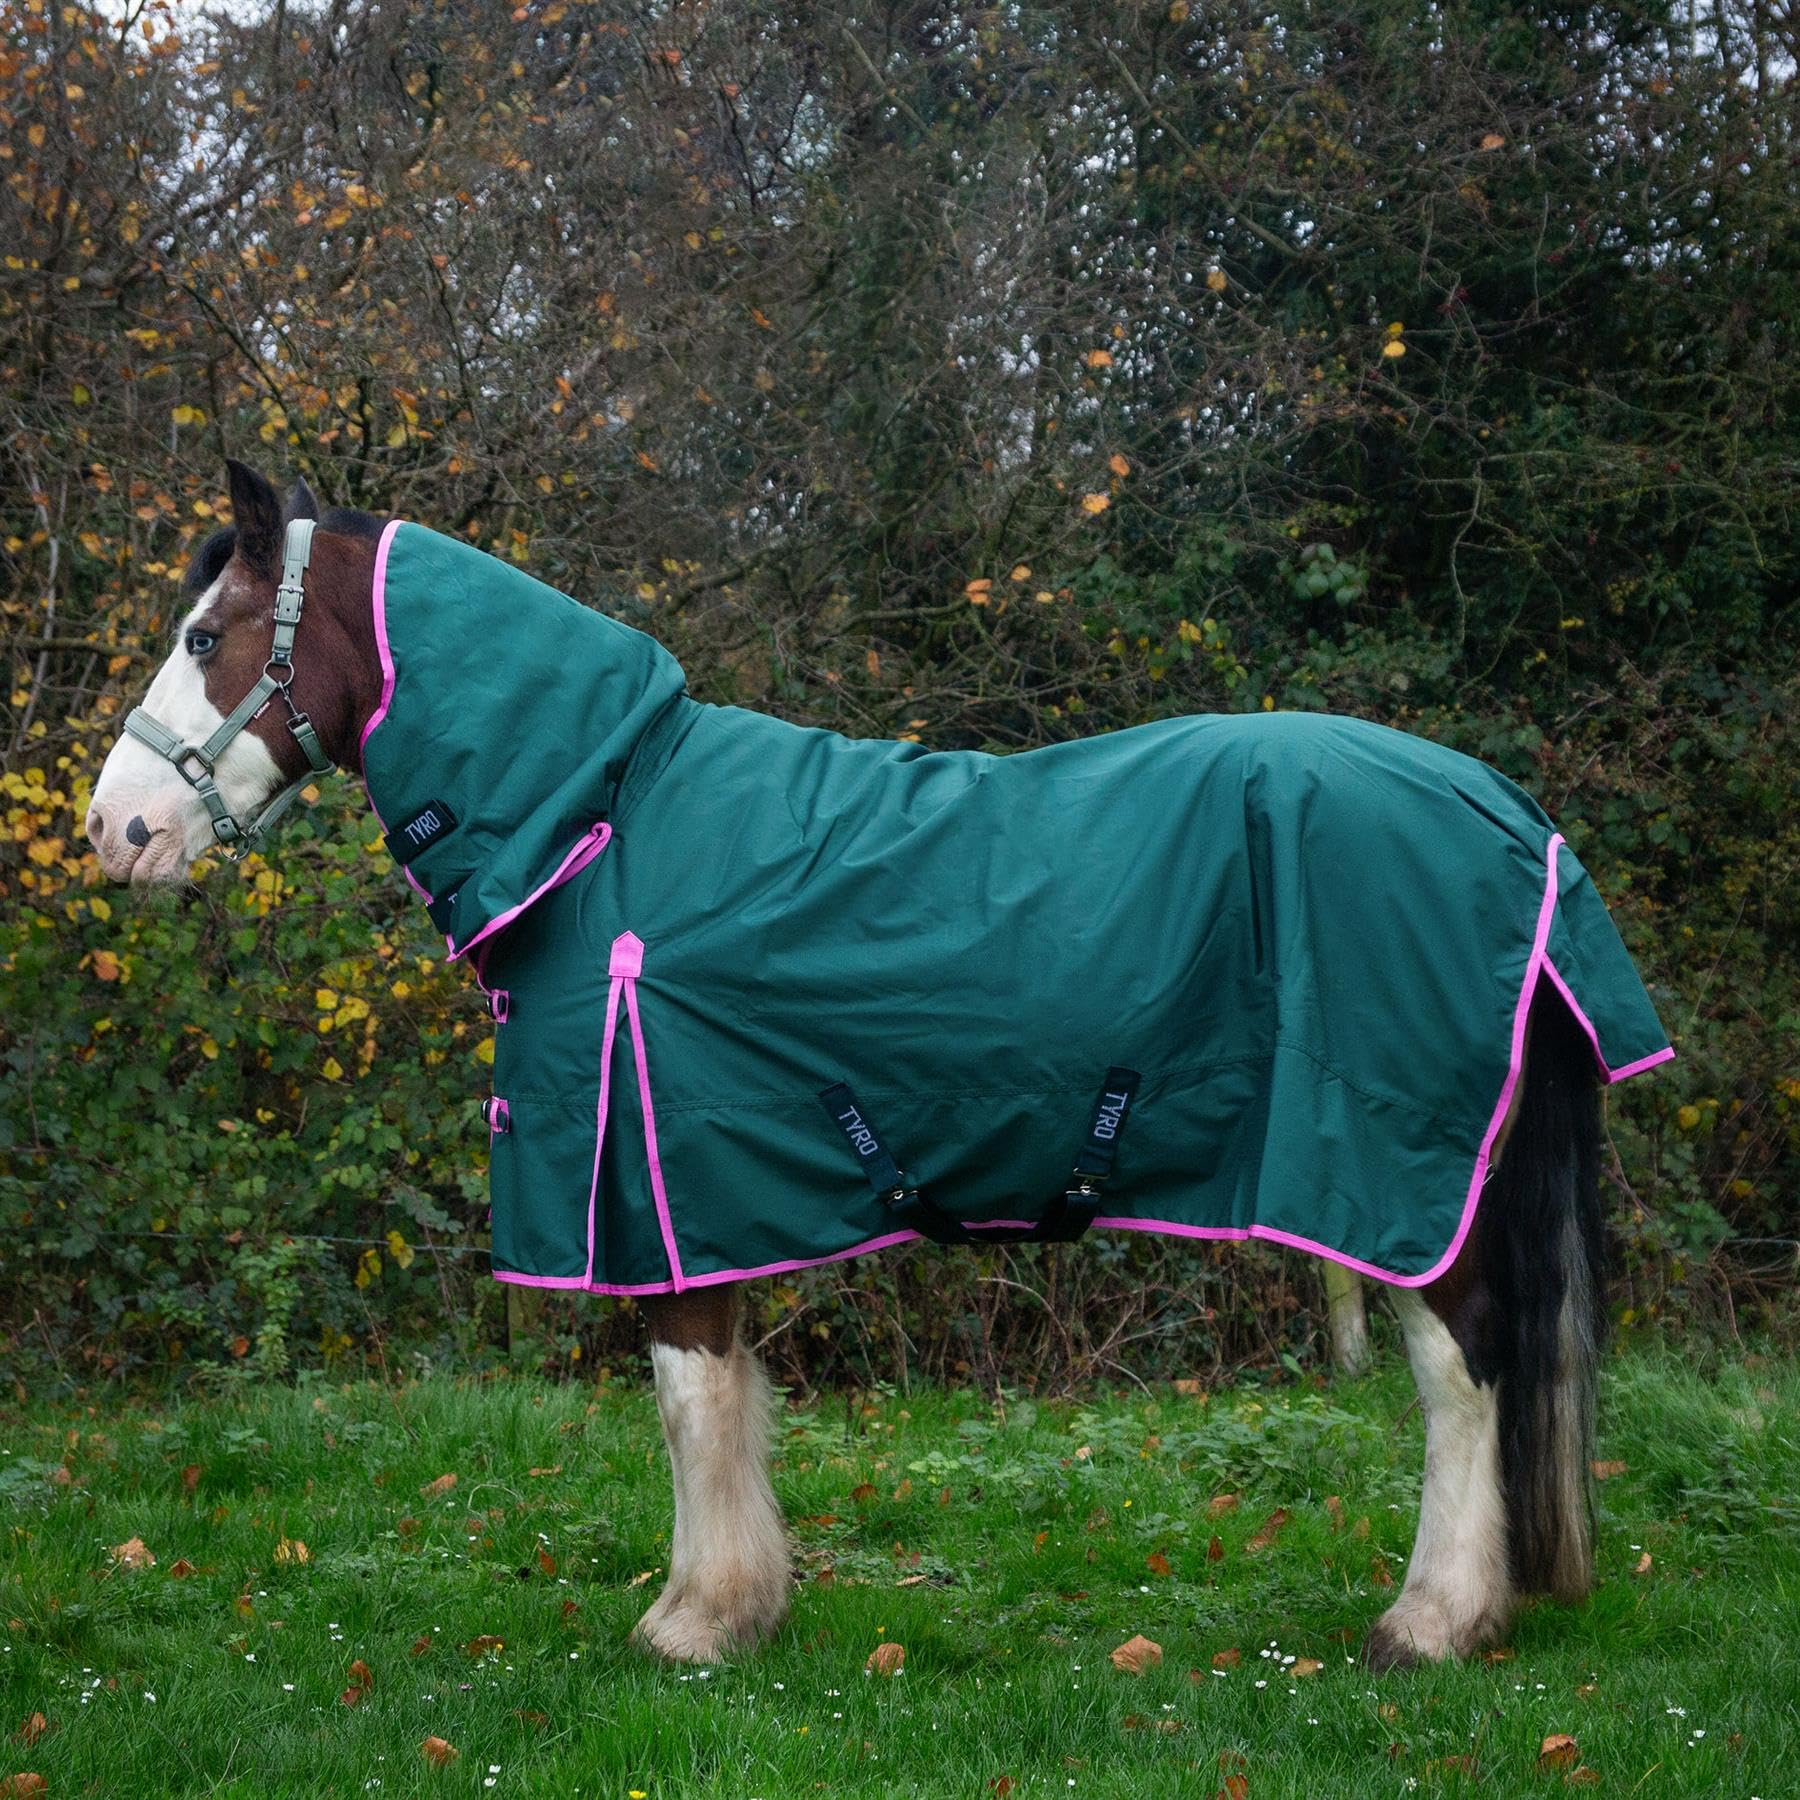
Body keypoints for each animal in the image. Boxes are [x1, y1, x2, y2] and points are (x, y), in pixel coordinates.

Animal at [85, 461, 1672, 1669]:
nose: (114, 833)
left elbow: (690, 1397)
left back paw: (1431, 1621)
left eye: (207, 636)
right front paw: (735, 1605)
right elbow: (720, 1408)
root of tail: (1509, 814)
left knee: (1462, 1373)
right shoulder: (697, 1184)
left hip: (1401, 1181)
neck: (602, 822)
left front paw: (693, 1623)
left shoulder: (660, 1173)